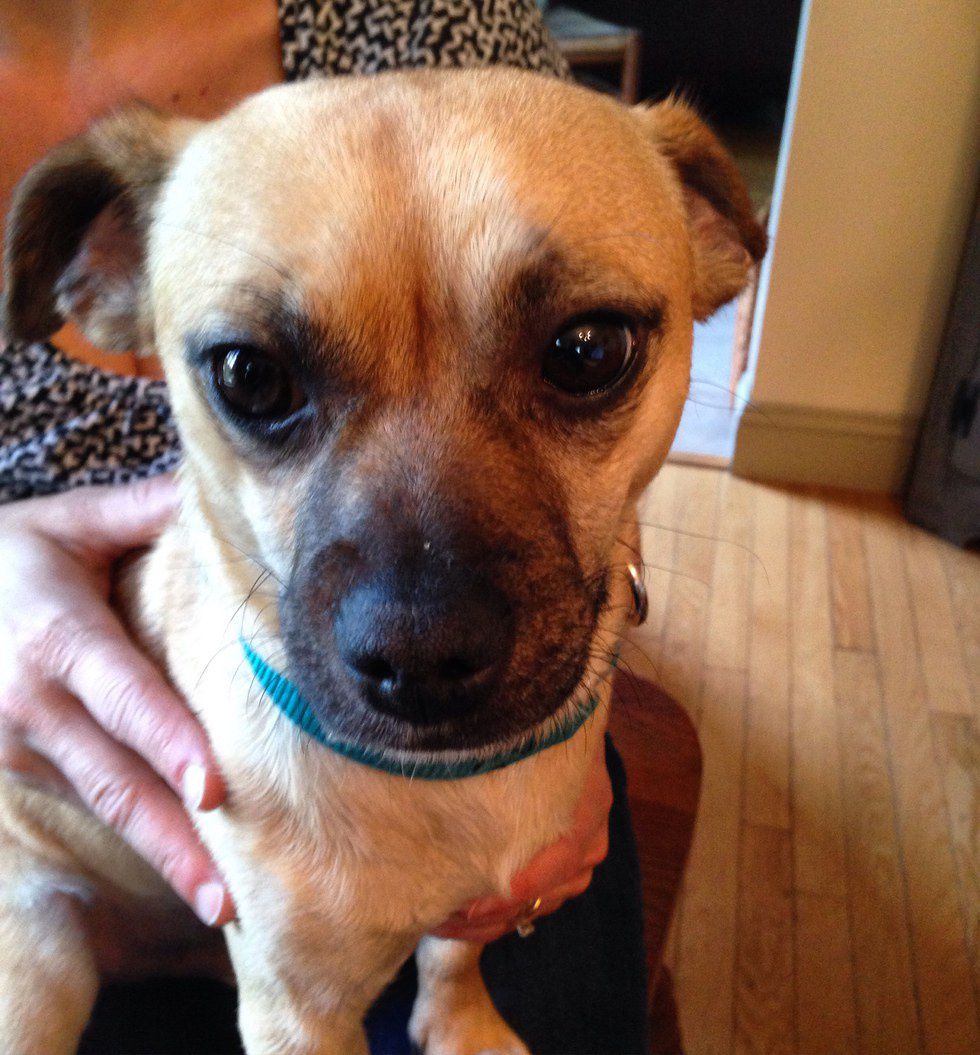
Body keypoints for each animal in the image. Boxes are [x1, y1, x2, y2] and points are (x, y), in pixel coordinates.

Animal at [0, 68, 765, 1054]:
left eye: (589, 349)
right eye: (247, 374)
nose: (421, 655)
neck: (446, 787)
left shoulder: (476, 908)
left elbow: (455, 952)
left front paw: (463, 1024)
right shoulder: (300, 1014)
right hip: (39, 974)